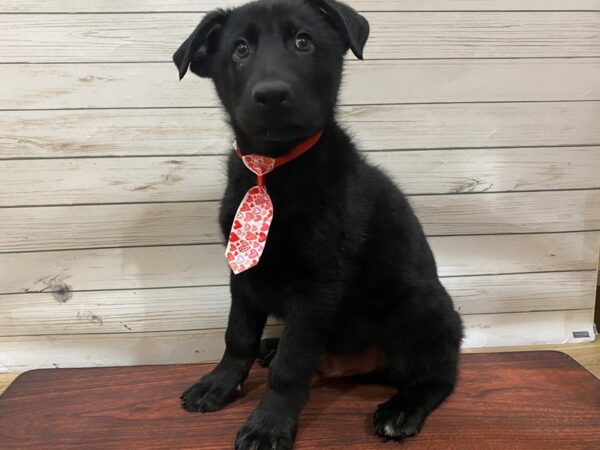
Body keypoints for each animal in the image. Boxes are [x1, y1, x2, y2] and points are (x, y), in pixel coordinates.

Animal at [171, 1, 462, 448]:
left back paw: (401, 409)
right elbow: (237, 336)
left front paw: (269, 425)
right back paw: (273, 346)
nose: (272, 95)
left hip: (422, 307)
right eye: (240, 49)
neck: (273, 171)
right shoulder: (242, 273)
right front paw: (219, 384)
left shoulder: (316, 286)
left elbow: (291, 367)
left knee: (437, 375)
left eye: (302, 42)